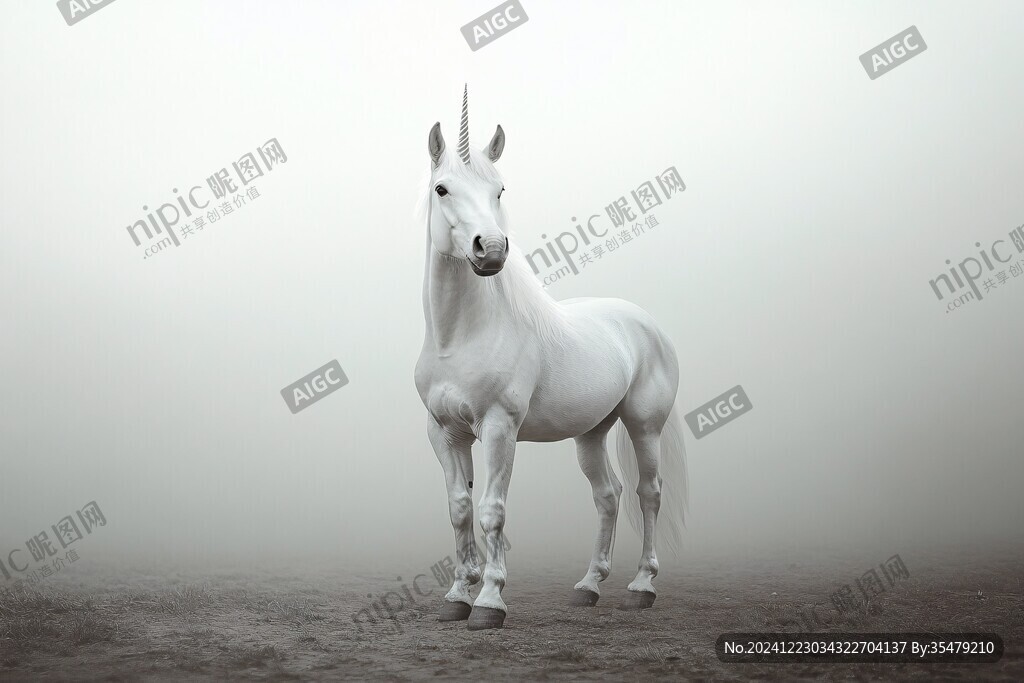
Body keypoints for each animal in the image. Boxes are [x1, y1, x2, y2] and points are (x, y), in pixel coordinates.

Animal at [414, 86, 688, 630]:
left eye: (499, 191)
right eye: (442, 189)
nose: (490, 249)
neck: (460, 337)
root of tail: (646, 324)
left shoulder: (499, 426)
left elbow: (492, 510)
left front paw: (489, 603)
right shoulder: (444, 431)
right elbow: (459, 508)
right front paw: (457, 596)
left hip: (644, 425)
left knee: (648, 493)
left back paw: (641, 587)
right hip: (592, 432)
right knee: (608, 496)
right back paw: (588, 587)